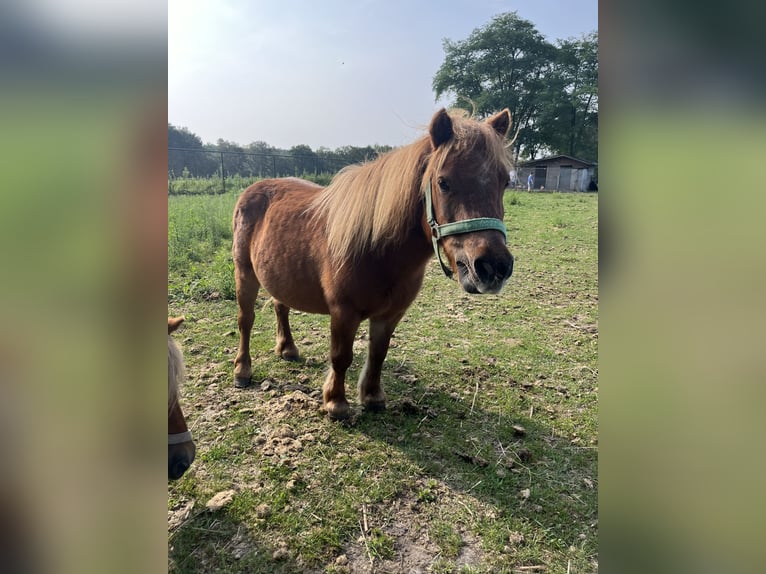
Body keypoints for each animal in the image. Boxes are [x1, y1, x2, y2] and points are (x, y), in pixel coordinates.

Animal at [231, 109, 512, 424]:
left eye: (505, 182)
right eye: (443, 182)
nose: (493, 266)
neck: (378, 250)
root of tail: (253, 189)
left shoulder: (391, 314)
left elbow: (378, 353)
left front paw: (373, 397)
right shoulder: (343, 311)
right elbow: (341, 356)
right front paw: (336, 403)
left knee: (281, 306)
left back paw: (287, 349)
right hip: (245, 273)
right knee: (246, 320)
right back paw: (242, 370)